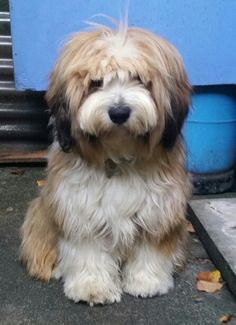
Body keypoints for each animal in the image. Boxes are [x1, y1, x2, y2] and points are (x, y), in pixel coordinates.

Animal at [19, 22, 192, 304]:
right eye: (95, 83)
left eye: (139, 79)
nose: (119, 112)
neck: (118, 155)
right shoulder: (79, 208)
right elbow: (87, 250)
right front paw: (92, 285)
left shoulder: (159, 208)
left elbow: (150, 248)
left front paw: (147, 280)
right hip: (42, 210)